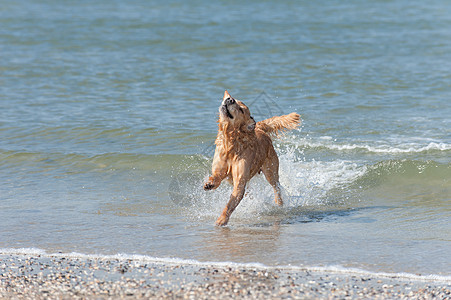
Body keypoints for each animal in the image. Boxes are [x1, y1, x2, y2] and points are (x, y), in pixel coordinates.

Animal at [204, 90, 300, 226]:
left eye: (241, 109)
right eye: (232, 99)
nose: (229, 99)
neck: (231, 143)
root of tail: (259, 127)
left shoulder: (240, 180)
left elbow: (230, 204)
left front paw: (221, 220)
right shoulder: (221, 169)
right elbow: (216, 177)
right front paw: (209, 183)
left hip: (271, 171)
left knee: (276, 187)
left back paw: (279, 203)